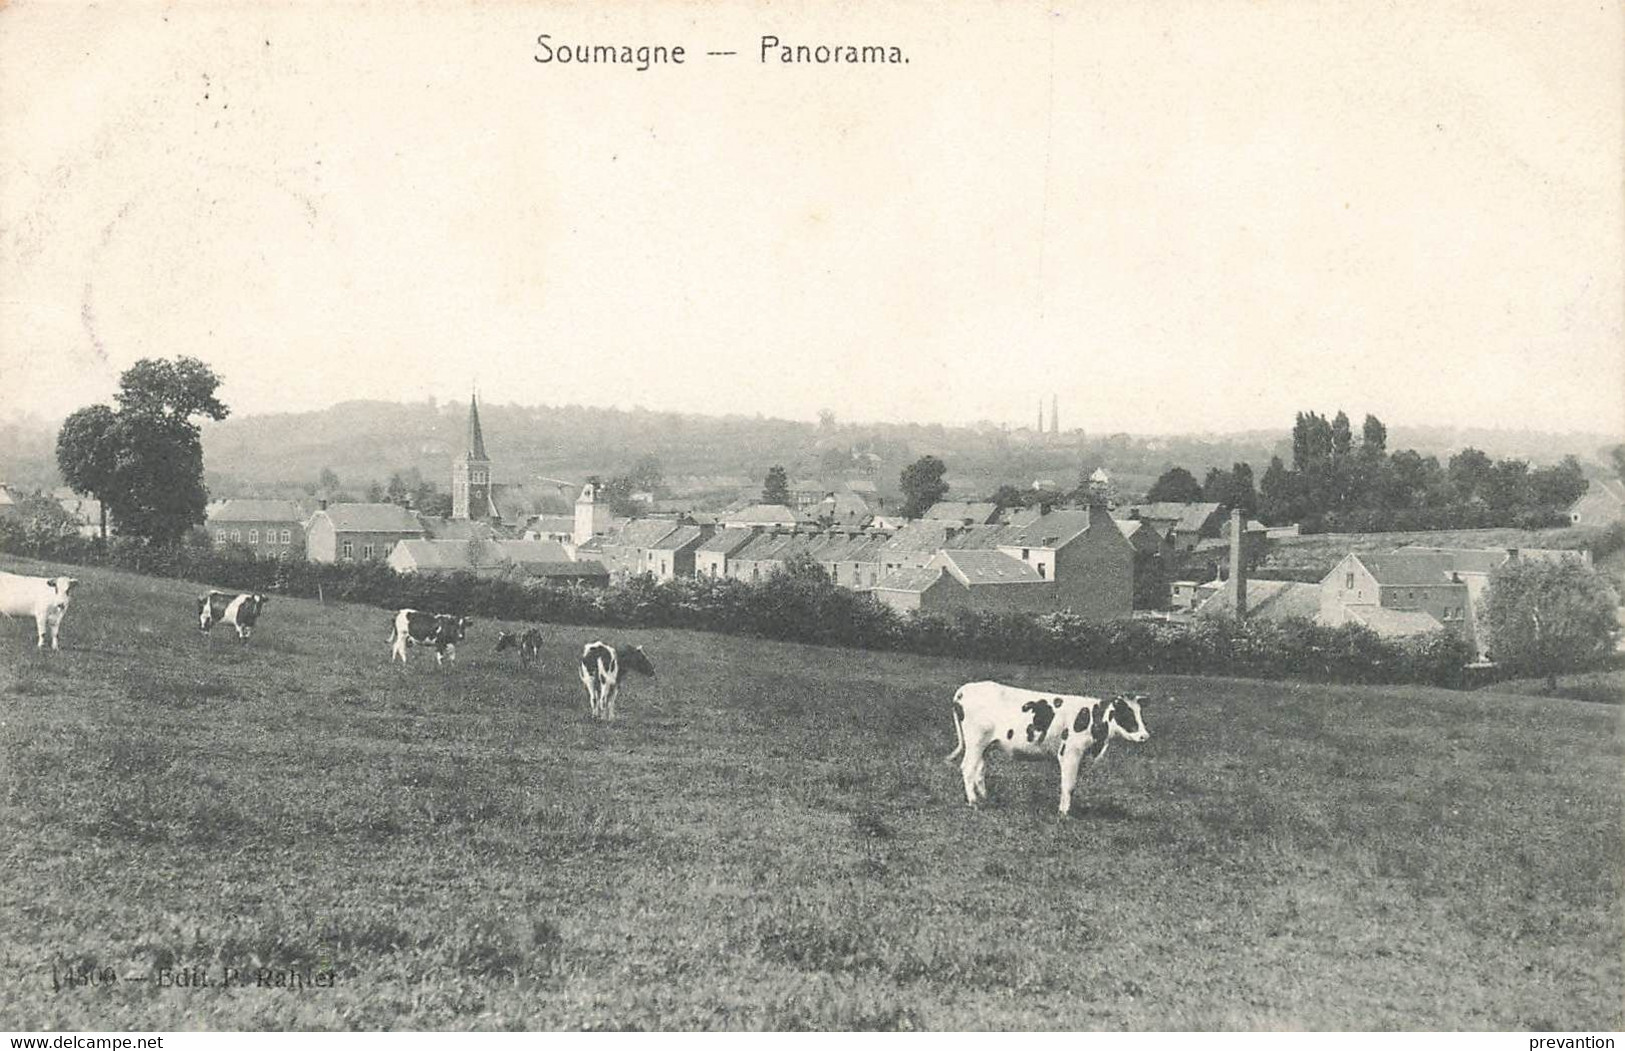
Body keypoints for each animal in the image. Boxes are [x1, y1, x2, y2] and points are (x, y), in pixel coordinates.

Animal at [949, 679, 1150, 818]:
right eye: (1126, 714)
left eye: (1139, 713)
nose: (1145, 736)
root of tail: (965, 689)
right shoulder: (1070, 753)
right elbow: (1068, 784)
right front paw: (1064, 813)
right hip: (976, 741)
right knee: (968, 768)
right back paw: (974, 802)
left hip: (985, 745)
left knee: (979, 769)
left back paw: (985, 797)